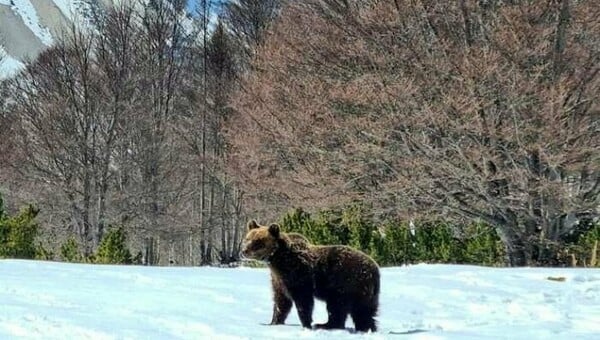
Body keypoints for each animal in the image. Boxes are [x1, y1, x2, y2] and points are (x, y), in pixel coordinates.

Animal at [240, 220, 378, 332]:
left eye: (258, 241)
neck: (278, 260)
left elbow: (303, 301)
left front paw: (306, 324)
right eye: (247, 238)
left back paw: (326, 325)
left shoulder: (298, 275)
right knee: (363, 311)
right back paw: (365, 327)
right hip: (363, 291)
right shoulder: (278, 280)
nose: (244, 251)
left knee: (339, 306)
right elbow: (281, 301)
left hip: (345, 284)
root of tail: (374, 269)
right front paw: (273, 322)